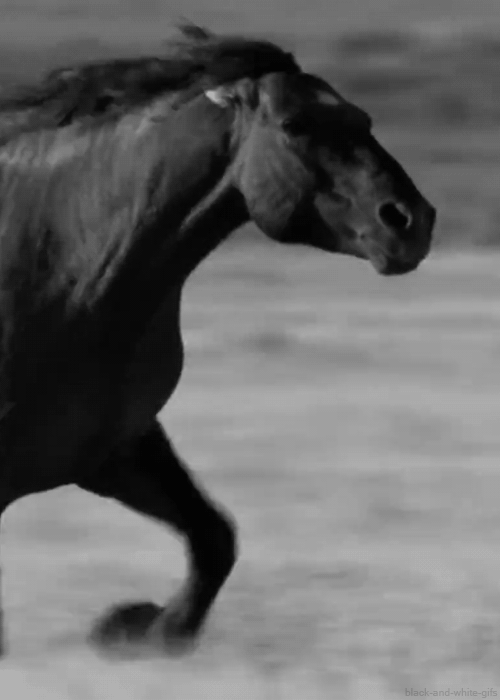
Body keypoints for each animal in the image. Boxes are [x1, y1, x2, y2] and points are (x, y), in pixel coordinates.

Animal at [0, 26, 436, 654]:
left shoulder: (111, 448)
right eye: (295, 125)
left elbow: (214, 539)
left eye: (363, 119)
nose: (410, 222)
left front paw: (139, 627)